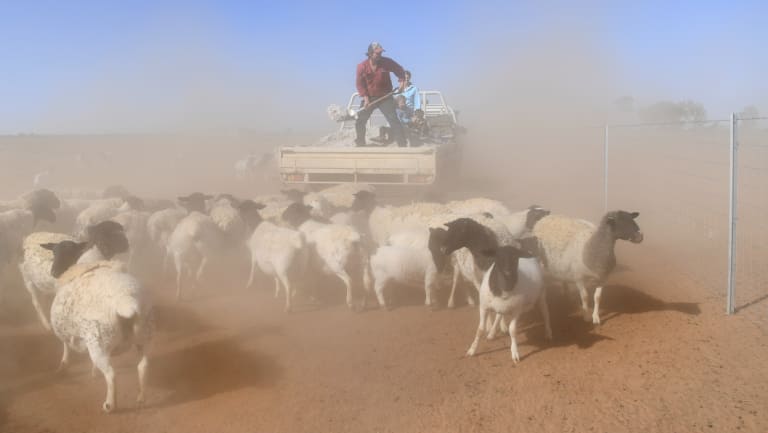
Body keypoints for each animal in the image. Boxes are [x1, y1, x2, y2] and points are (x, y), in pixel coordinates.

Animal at [42, 246, 153, 412]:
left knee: (111, 374)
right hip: (143, 337)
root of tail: (127, 302)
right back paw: (141, 398)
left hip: (99, 344)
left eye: (61, 252)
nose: (53, 272)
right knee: (143, 366)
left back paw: (110, 405)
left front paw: (63, 366)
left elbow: (65, 347)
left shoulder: (67, 332)